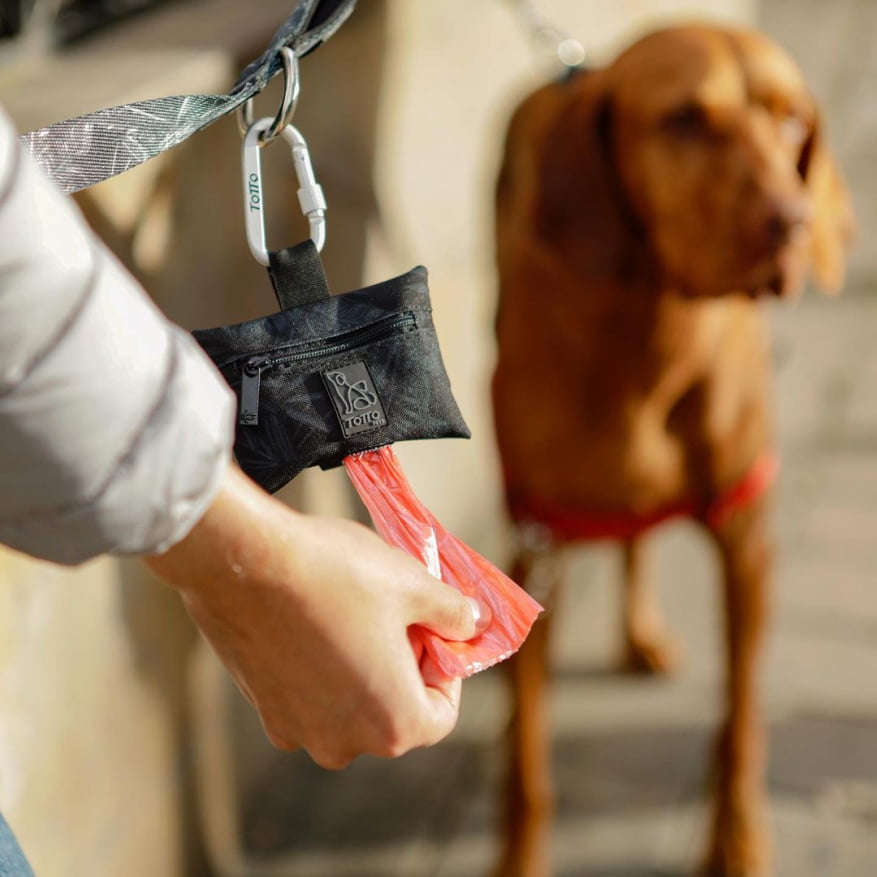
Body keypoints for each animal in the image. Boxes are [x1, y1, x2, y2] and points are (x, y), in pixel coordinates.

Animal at [496, 20, 852, 876]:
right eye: (684, 120)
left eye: (791, 119)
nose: (791, 222)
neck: (654, 338)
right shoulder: (536, 545)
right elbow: (526, 767)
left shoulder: (748, 550)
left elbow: (740, 724)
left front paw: (738, 845)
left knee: (637, 542)